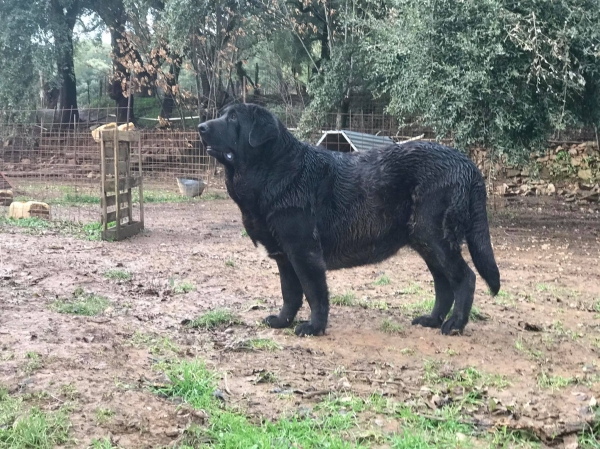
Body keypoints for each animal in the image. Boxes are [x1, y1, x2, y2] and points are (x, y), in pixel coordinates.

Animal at [198, 104, 502, 336]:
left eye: (233, 118)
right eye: (223, 114)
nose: (201, 126)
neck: (274, 171)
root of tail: (468, 165)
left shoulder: (304, 252)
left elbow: (314, 293)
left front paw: (314, 328)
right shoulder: (285, 257)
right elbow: (290, 294)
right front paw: (283, 322)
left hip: (434, 236)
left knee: (465, 278)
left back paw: (454, 324)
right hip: (425, 241)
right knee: (443, 284)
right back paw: (431, 320)